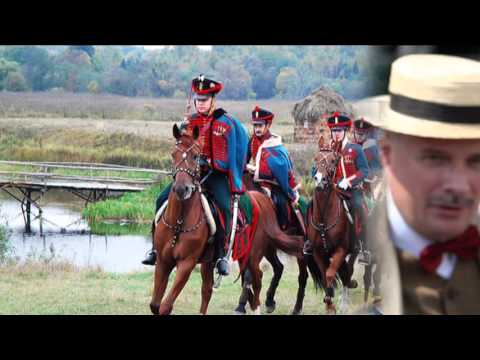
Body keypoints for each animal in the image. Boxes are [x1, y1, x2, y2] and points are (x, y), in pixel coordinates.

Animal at [149, 124, 304, 316]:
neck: (179, 222)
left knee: (257, 279)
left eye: (196, 156)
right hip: (214, 261)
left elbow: (165, 306)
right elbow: (155, 305)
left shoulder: (186, 264)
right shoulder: (163, 262)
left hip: (252, 255)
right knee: (208, 290)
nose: (181, 189)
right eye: (173, 154)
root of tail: (260, 200)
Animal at [308, 138, 360, 316]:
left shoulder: (341, 250)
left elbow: (331, 274)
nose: (319, 180)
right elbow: (325, 276)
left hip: (354, 249)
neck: (324, 217)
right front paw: (329, 304)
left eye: (333, 161)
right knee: (345, 272)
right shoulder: (318, 252)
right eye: (316, 159)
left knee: (348, 271)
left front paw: (331, 301)